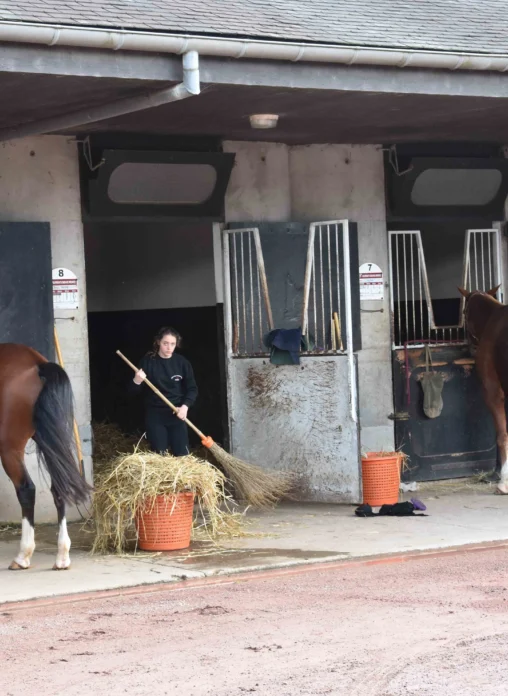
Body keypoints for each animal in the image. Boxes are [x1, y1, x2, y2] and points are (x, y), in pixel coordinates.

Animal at [0, 342, 91, 572]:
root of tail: (37, 363)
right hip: (51, 440)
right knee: (59, 488)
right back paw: (62, 556)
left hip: (10, 448)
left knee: (26, 489)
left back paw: (23, 556)